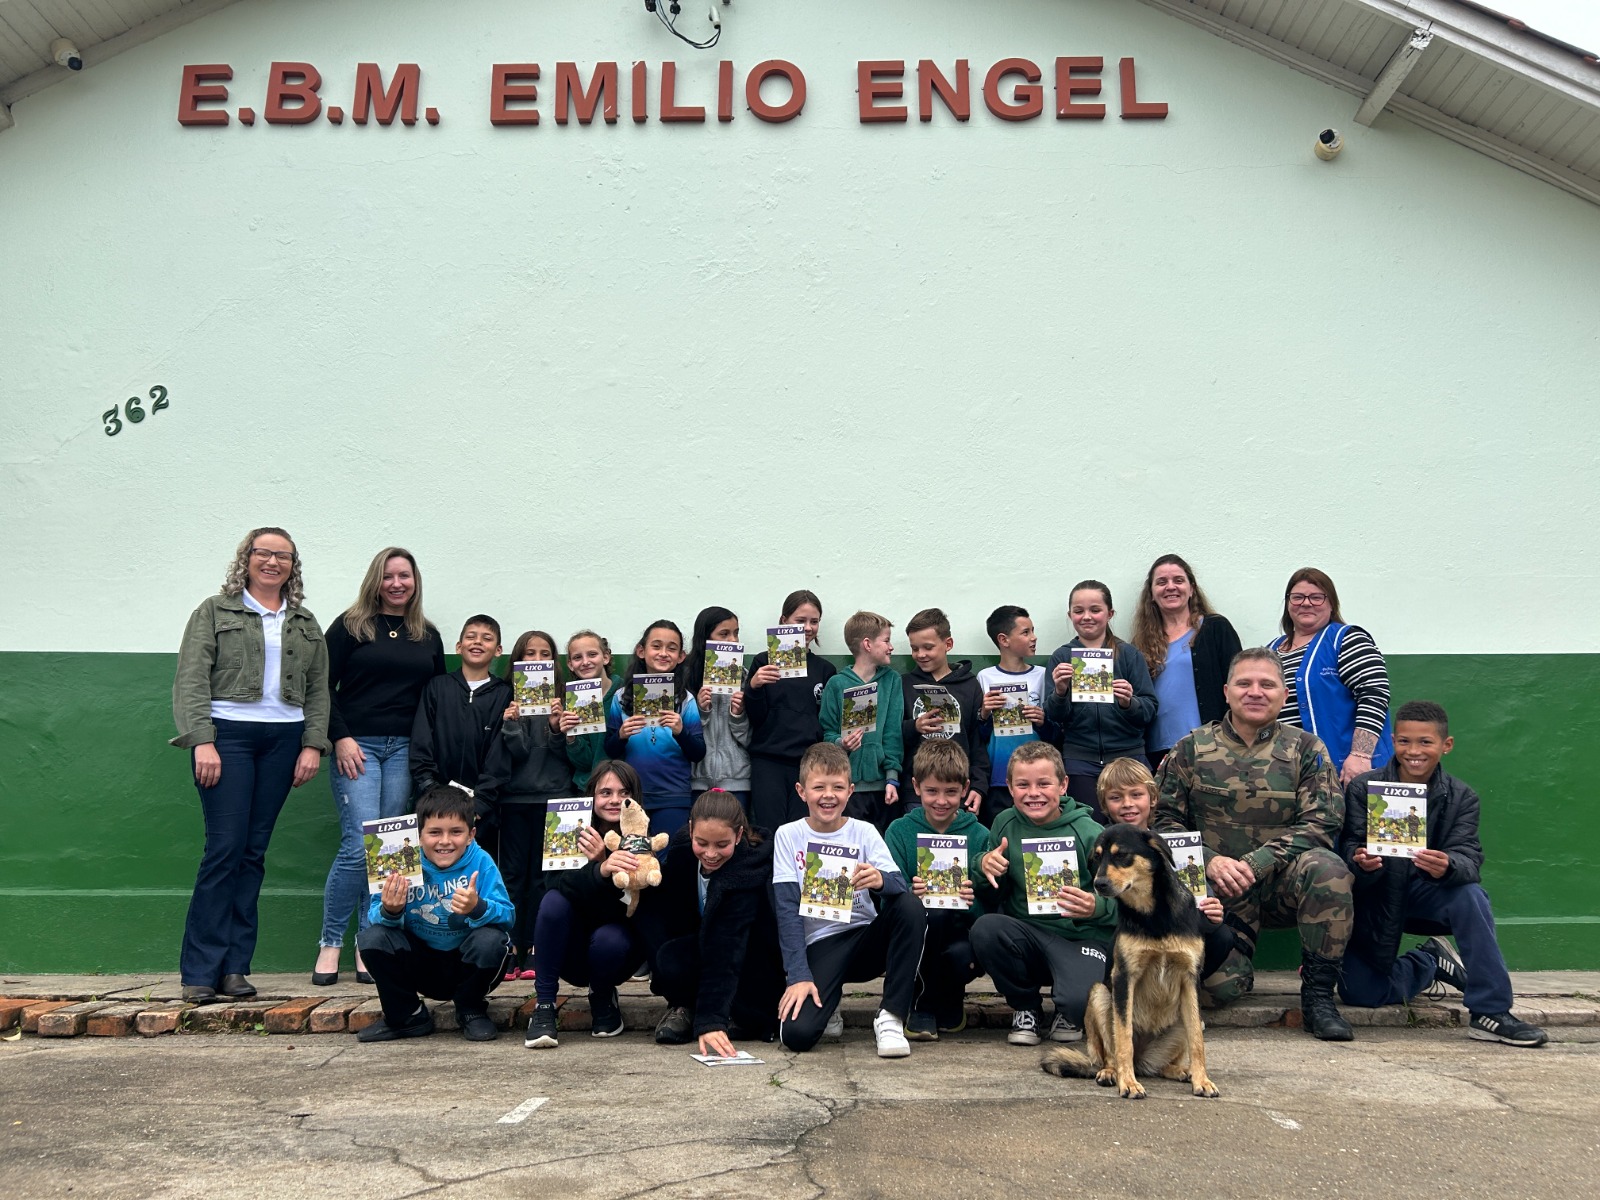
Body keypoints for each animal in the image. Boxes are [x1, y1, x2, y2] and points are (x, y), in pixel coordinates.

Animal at [1036, 825, 1209, 1100]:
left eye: (1122, 855)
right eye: (1097, 858)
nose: (1099, 884)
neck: (1153, 915)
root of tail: (1142, 1059)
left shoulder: (1190, 979)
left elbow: (1197, 1042)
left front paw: (1202, 1081)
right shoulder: (1124, 978)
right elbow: (1123, 1038)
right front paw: (1128, 1083)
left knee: (1161, 1063)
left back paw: (1179, 1070)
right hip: (1100, 995)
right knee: (1111, 1054)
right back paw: (1111, 1073)